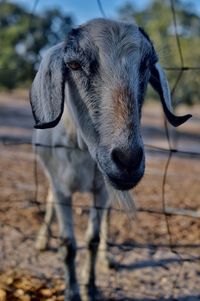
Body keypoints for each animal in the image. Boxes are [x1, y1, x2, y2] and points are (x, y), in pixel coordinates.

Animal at [29, 18, 191, 300]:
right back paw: (42, 240)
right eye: (74, 65)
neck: (81, 146)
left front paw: (91, 287)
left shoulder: (102, 188)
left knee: (105, 221)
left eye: (147, 65)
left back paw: (106, 258)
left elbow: (92, 239)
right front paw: (71, 291)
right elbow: (69, 244)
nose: (128, 160)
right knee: (48, 201)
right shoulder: (62, 187)